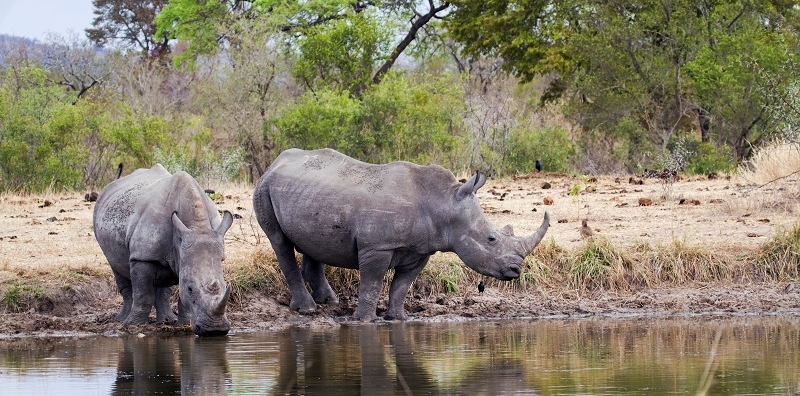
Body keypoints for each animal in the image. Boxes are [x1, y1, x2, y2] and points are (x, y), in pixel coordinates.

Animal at [93, 163, 233, 334]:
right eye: (190, 289)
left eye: (225, 287)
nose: (215, 330)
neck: (198, 226)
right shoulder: (142, 256)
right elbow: (143, 294)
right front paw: (133, 326)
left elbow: (180, 295)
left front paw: (183, 325)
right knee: (116, 267)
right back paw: (122, 320)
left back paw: (167, 320)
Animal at [252, 148, 552, 322]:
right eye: (491, 239)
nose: (516, 270)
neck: (443, 202)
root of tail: (275, 163)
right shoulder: (377, 246)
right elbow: (372, 284)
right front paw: (364, 321)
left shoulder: (421, 250)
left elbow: (402, 286)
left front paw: (398, 318)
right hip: (263, 188)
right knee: (279, 243)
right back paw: (308, 309)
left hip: (308, 194)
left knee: (312, 242)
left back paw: (328, 302)